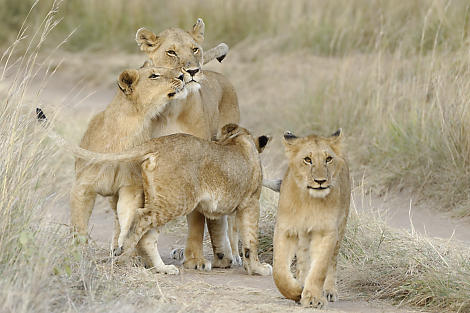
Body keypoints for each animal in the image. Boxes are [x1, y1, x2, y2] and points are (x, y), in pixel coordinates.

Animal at [52, 65, 186, 270]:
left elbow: (126, 217)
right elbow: (79, 225)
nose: (182, 75)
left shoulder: (131, 187)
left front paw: (123, 246)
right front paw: (78, 256)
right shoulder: (82, 187)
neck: (131, 127)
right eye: (154, 75)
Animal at [134, 18, 241, 270]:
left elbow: (197, 218)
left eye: (195, 49)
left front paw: (195, 259)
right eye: (171, 52)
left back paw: (231, 254)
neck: (171, 107)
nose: (192, 71)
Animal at [272, 129, 348, 308]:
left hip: (340, 228)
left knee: (332, 262)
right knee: (302, 262)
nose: (320, 181)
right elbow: (279, 271)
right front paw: (296, 291)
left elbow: (320, 268)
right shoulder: (285, 230)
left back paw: (328, 291)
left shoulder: (327, 232)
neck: (309, 200)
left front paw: (313, 297)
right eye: (307, 159)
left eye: (328, 159)